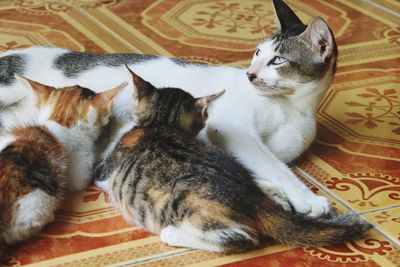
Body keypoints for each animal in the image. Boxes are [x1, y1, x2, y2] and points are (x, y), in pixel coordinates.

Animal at [0, 0, 338, 218]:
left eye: (277, 60)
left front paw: (272, 192)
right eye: (257, 53)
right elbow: (274, 165)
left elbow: (256, 165)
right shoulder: (233, 129)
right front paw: (307, 197)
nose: (250, 74)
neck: (294, 106)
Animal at [95, 68, 370, 253]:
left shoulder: (105, 171)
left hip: (192, 205)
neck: (163, 125)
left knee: (241, 238)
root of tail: (251, 200)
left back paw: (172, 234)